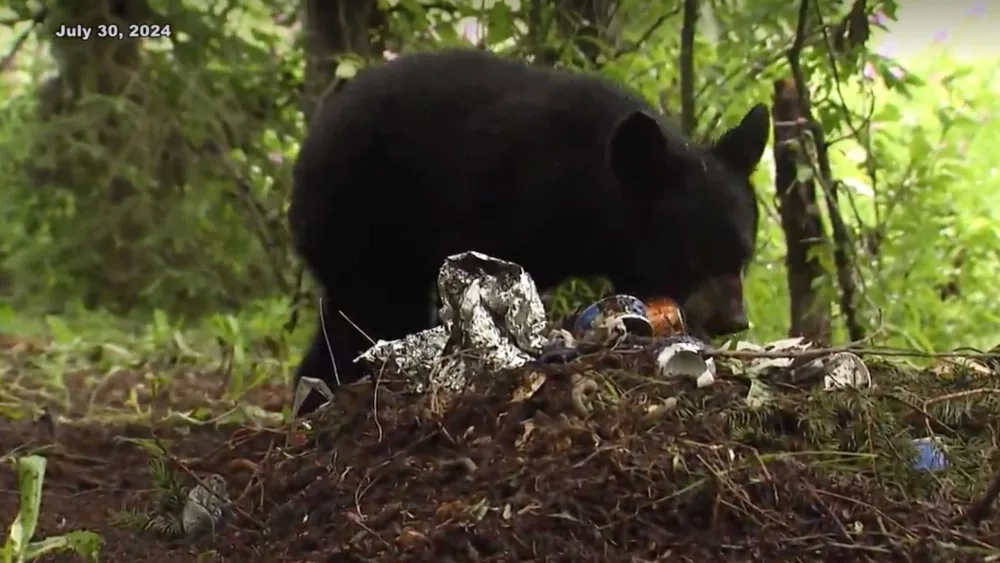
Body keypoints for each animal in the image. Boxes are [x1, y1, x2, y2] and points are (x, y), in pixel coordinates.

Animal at [290, 47, 772, 414]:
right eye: (693, 255)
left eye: (744, 254)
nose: (734, 319)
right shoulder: (498, 200)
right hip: (363, 218)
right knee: (376, 307)